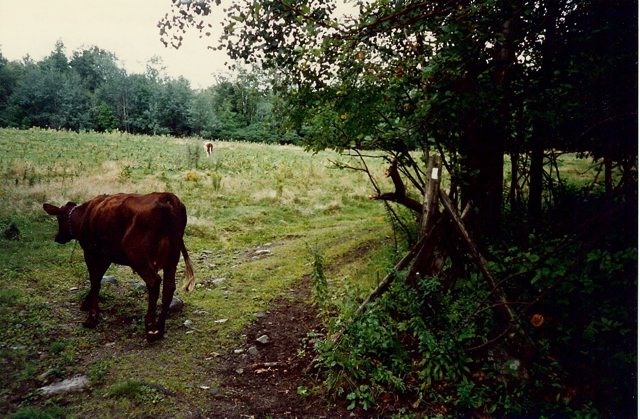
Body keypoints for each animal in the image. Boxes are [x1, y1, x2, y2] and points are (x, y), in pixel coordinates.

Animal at [42, 192, 195, 342]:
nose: (57, 237)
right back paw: (160, 329)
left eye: (60, 218)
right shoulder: (107, 255)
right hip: (172, 257)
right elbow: (98, 278)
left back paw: (151, 329)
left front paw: (92, 317)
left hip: (138, 256)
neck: (86, 214)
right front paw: (86, 303)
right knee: (169, 287)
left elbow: (95, 281)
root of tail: (166, 196)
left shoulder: (91, 251)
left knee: (154, 282)